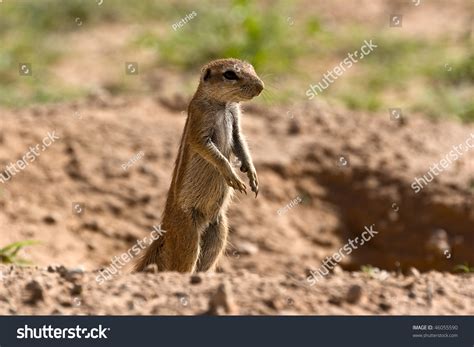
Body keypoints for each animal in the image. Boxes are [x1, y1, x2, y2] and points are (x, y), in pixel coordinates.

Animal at [135, 58, 264, 274]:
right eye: (230, 74)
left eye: (252, 68)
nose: (261, 87)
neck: (224, 105)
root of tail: (165, 232)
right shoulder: (199, 123)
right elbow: (213, 153)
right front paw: (233, 176)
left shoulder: (236, 124)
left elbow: (241, 143)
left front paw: (252, 174)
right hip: (189, 237)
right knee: (182, 264)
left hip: (219, 231)